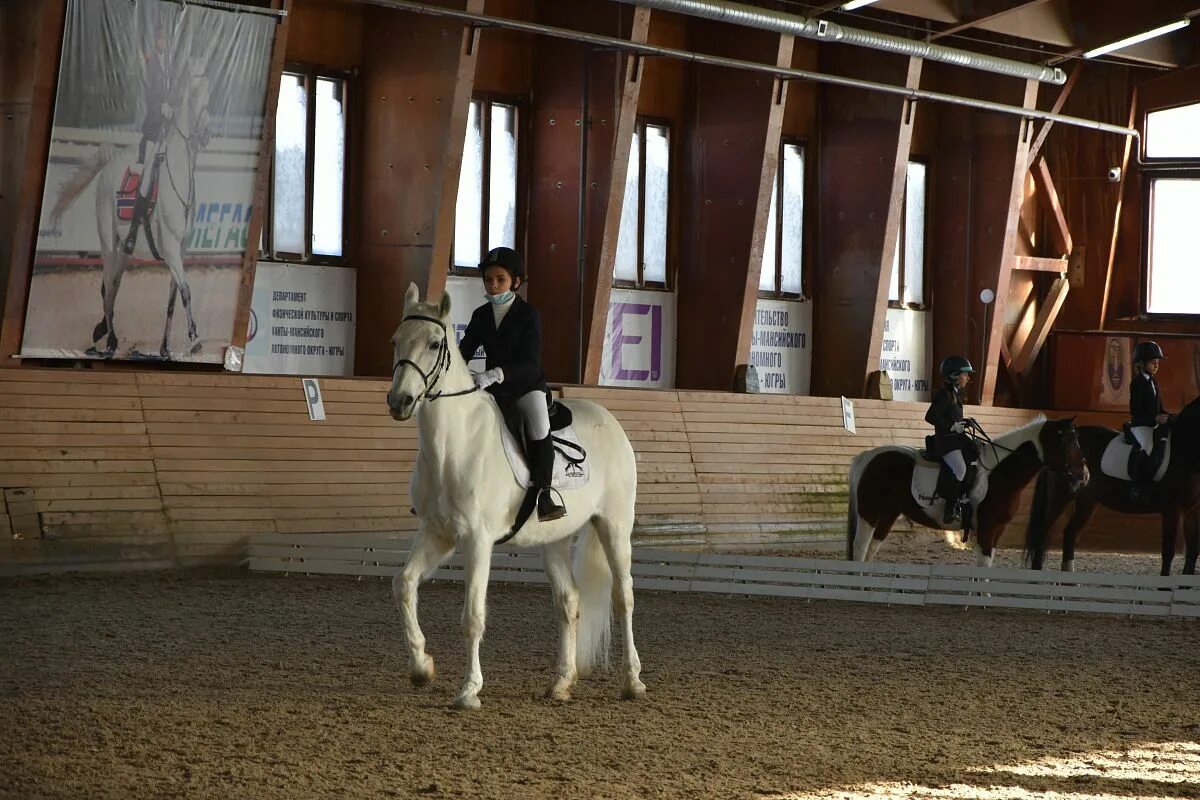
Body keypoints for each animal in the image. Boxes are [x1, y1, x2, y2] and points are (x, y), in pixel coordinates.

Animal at [48, 56, 212, 357]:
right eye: (194, 91)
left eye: (210, 89)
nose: (206, 132)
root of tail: (112, 159)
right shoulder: (171, 250)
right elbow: (185, 290)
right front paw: (195, 340)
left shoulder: (180, 251)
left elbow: (172, 300)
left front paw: (165, 349)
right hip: (108, 241)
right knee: (108, 288)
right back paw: (110, 341)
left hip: (124, 248)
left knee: (112, 285)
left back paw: (104, 331)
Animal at [384, 284, 648, 710]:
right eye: (395, 341)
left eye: (435, 343)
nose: (400, 402)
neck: (452, 445)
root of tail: (607, 418)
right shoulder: (437, 534)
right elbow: (404, 585)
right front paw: (422, 668)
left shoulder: (477, 540)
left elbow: (472, 616)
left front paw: (469, 691)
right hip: (556, 538)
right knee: (569, 602)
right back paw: (561, 684)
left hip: (614, 525)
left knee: (623, 597)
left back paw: (633, 682)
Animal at [849, 417, 1094, 566]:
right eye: (1068, 443)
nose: (1085, 475)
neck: (998, 473)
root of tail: (868, 455)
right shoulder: (987, 527)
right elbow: (983, 564)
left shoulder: (997, 530)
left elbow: (986, 562)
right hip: (869, 512)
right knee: (860, 548)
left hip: (888, 513)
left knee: (871, 548)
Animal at [1022, 393, 1200, 575]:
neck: (1184, 452)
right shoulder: (1172, 510)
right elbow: (1169, 552)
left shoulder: (1193, 511)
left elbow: (1192, 552)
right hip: (1060, 496)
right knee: (1042, 533)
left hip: (1087, 501)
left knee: (1070, 533)